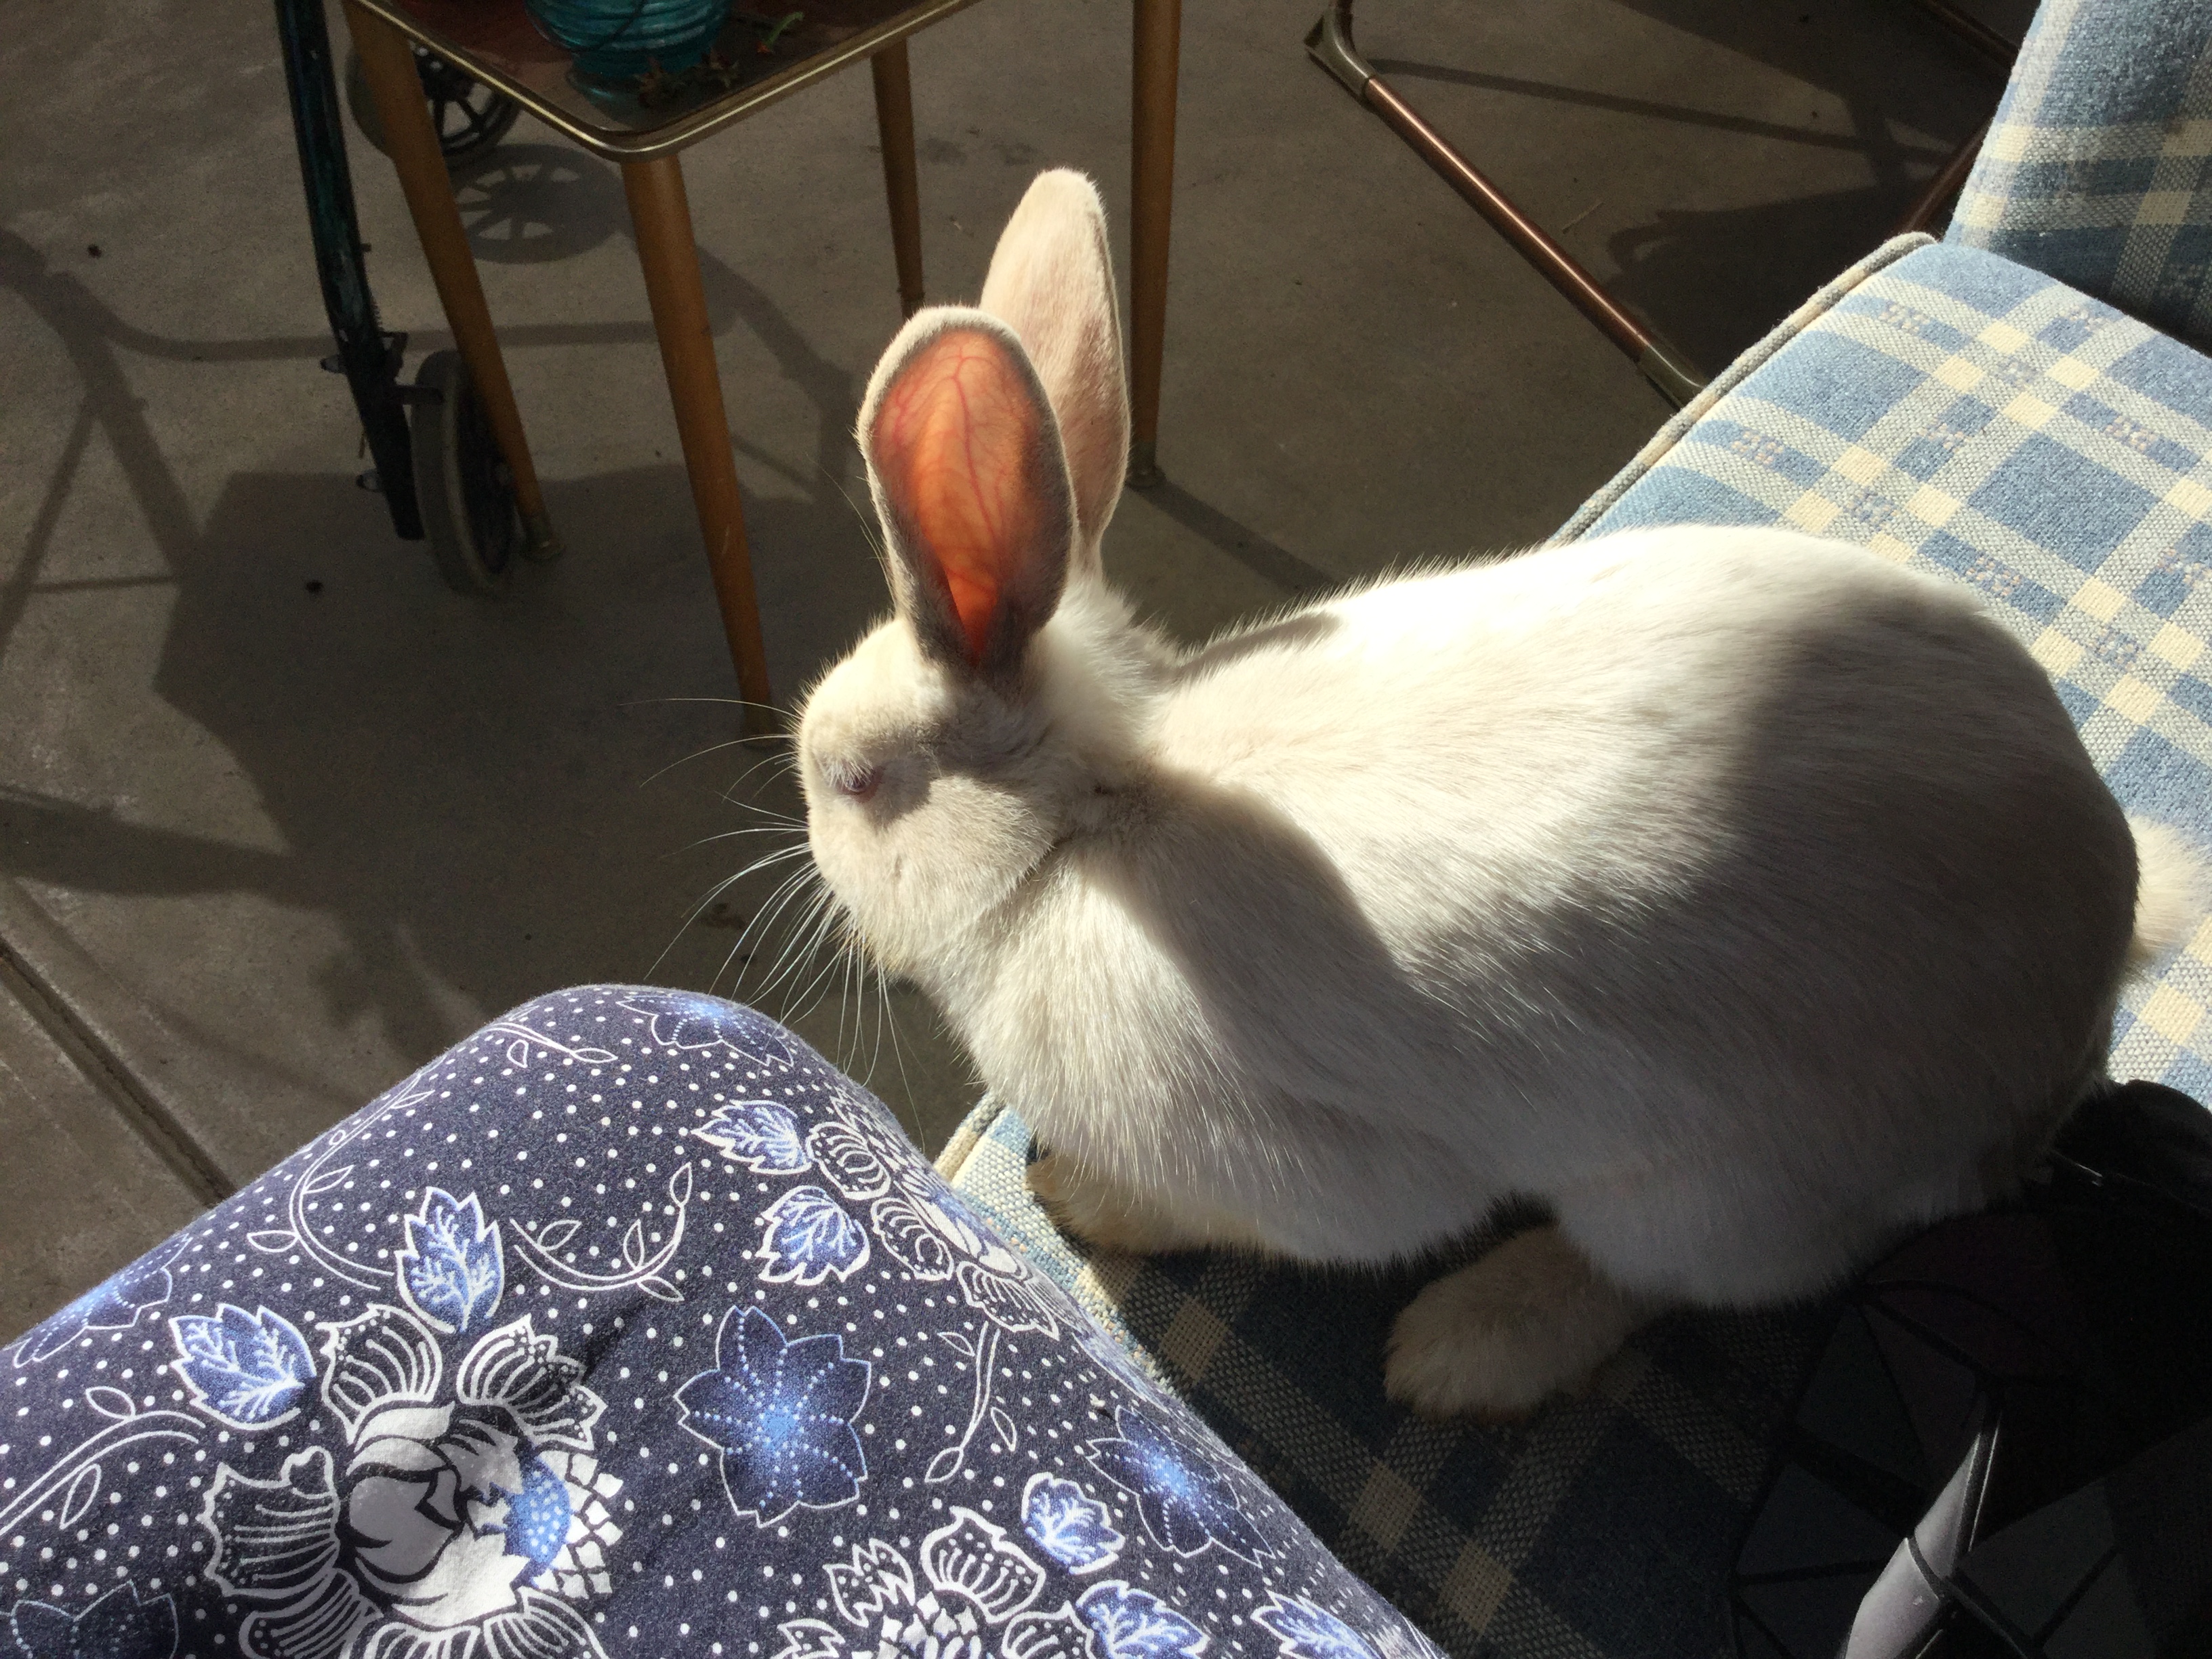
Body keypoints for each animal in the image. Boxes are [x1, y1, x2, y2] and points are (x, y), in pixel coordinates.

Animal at [793, 168, 2206, 1419]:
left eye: (854, 780)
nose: (807, 826)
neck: (1085, 819)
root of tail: (2079, 1013)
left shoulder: (1310, 1168)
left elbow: (1246, 1213)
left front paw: (1083, 1199)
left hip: (1705, 1191)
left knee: (1654, 1280)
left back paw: (1464, 1348)